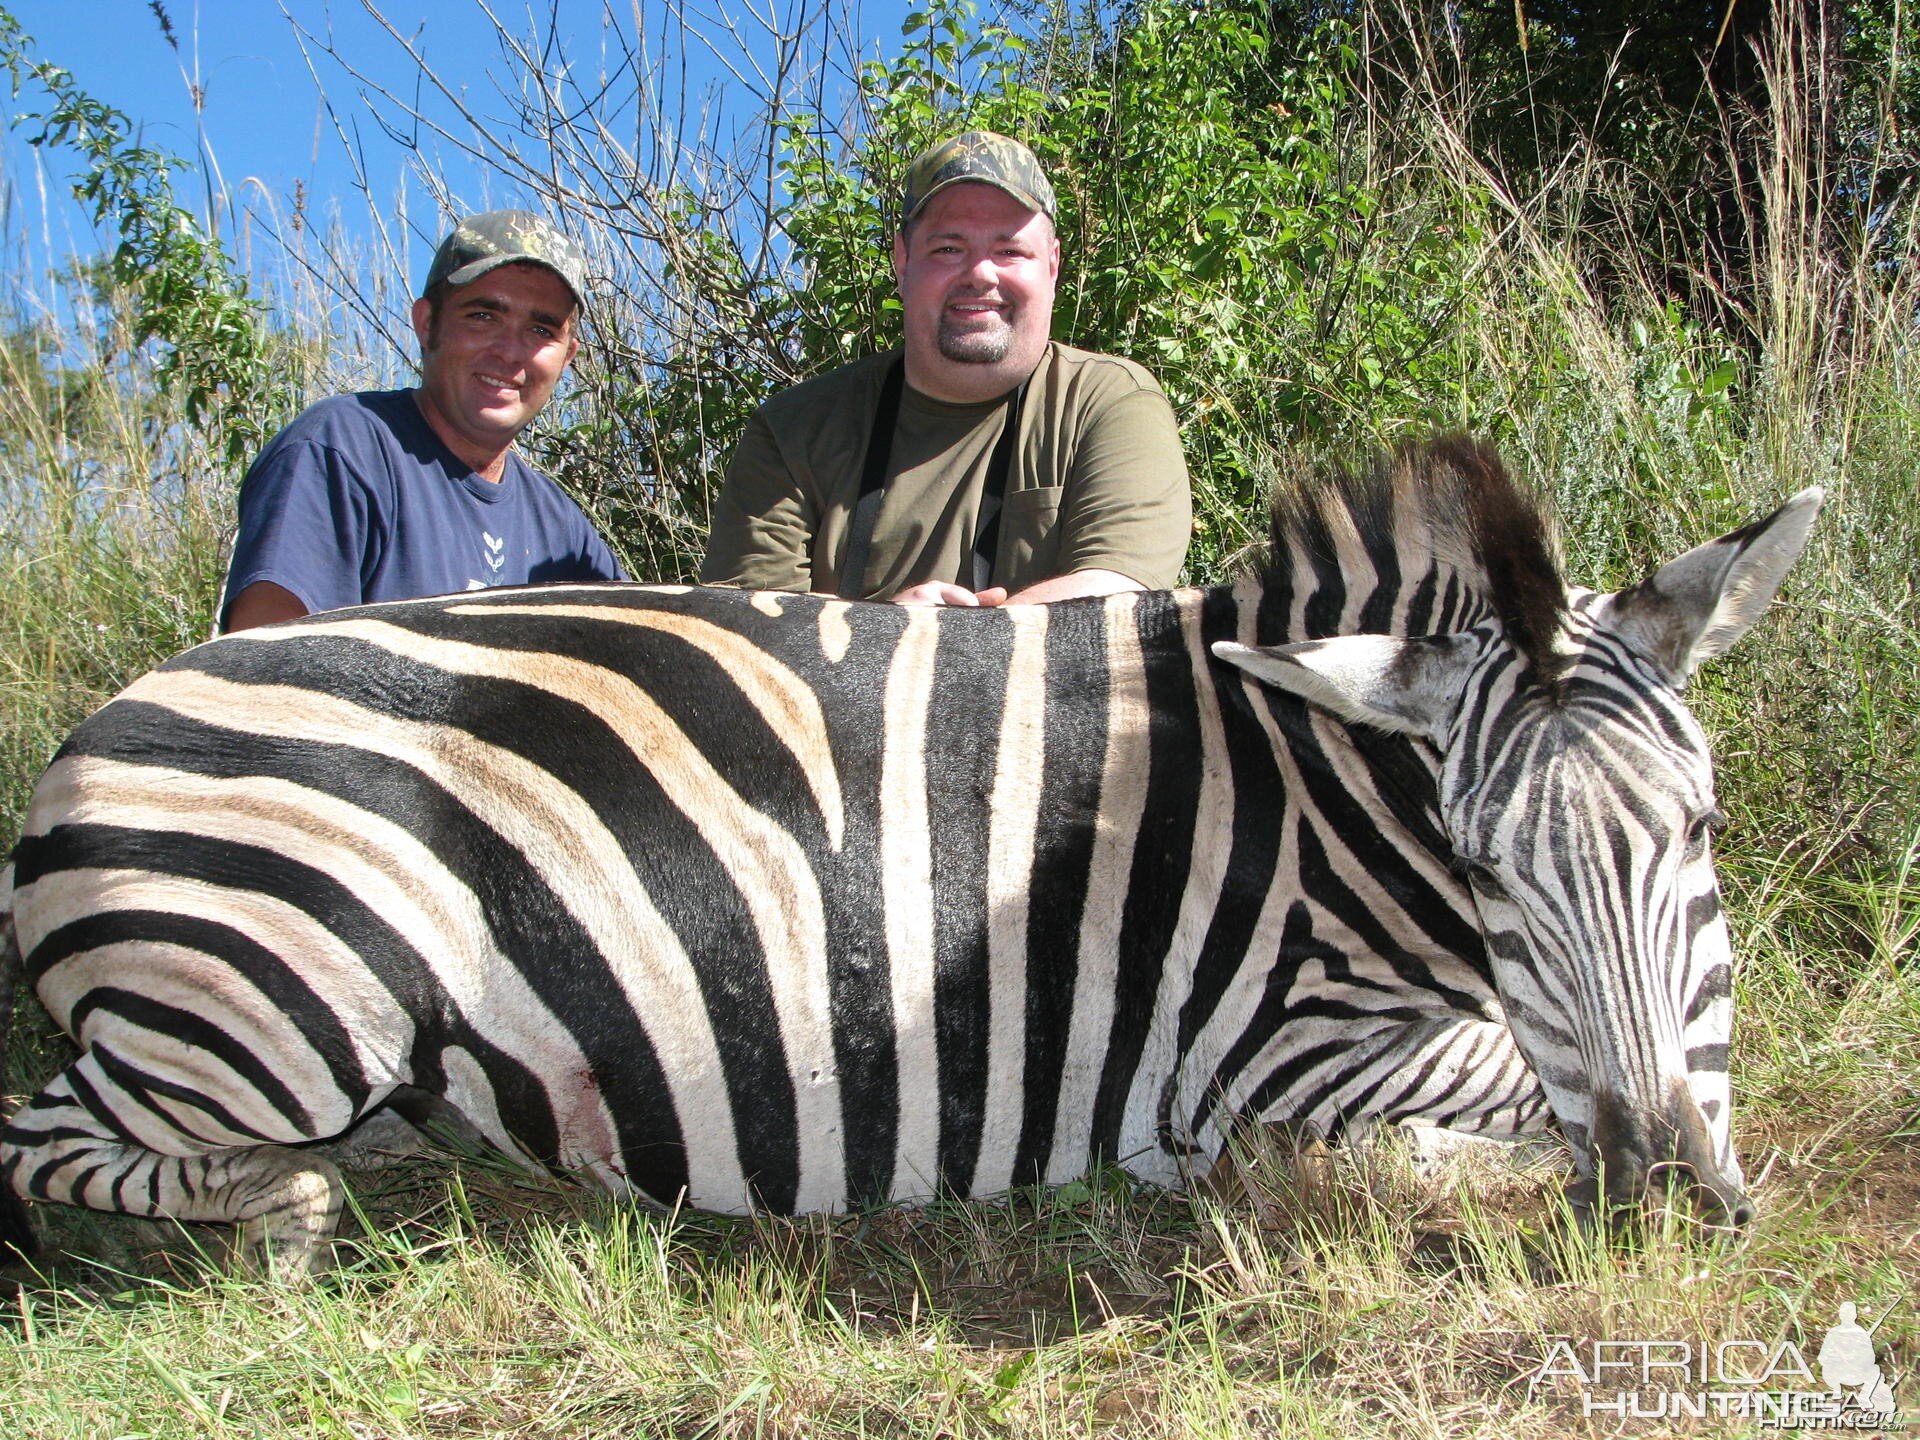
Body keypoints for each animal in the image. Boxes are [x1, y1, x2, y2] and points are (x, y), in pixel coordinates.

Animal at [0, 439, 1820, 1274]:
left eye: (1700, 833)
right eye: (1491, 869)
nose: (1670, 1206)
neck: (1319, 799)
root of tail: (90, 727)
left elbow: (1678, 1069)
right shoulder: (1264, 1048)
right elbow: (1486, 1101)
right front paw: (1447, 1169)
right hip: (284, 999)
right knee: (51, 1141)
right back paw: (294, 1208)